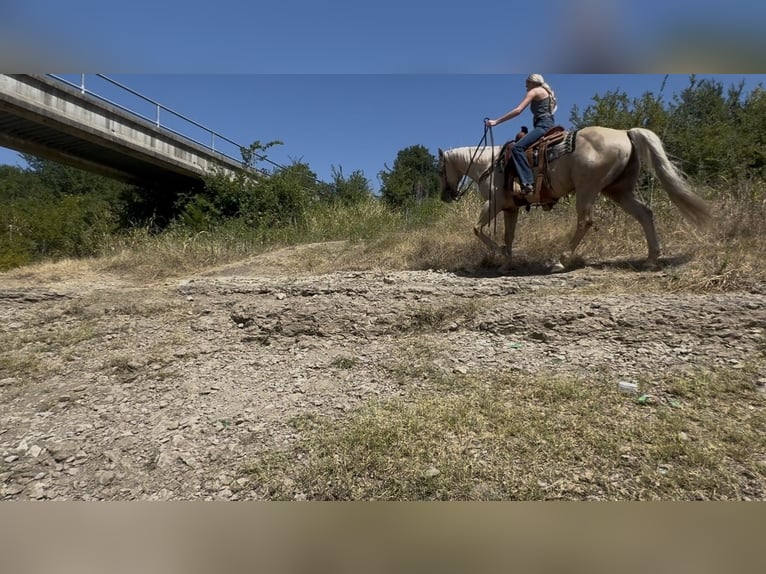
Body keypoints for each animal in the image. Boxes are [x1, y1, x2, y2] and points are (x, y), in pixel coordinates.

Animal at [438, 126, 711, 272]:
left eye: (440, 170)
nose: (445, 195)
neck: (489, 165)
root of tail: (625, 133)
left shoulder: (492, 204)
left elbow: (477, 229)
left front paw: (499, 255)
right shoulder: (510, 208)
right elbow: (508, 236)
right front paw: (506, 262)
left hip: (587, 189)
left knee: (585, 221)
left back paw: (561, 261)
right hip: (618, 190)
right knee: (645, 213)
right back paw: (651, 260)